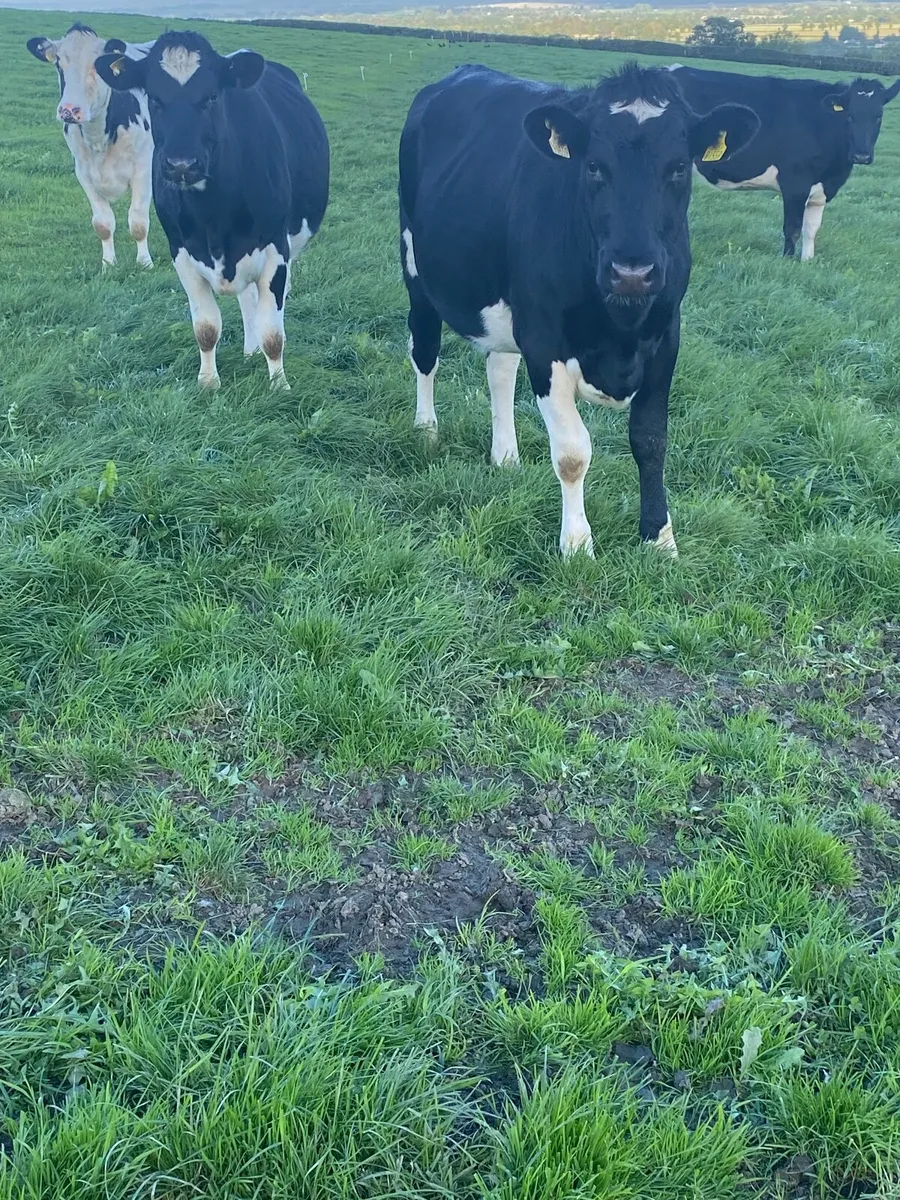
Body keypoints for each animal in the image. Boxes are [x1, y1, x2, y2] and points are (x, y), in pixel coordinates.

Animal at [27, 23, 154, 270]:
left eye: (97, 64)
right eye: (58, 62)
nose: (69, 110)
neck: (99, 139)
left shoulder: (144, 168)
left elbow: (138, 221)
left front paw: (145, 263)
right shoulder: (83, 172)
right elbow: (103, 224)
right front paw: (108, 264)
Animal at [95, 32, 329, 391]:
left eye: (212, 96)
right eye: (154, 98)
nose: (181, 165)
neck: (213, 217)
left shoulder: (276, 250)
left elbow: (273, 332)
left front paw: (279, 385)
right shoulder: (182, 252)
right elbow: (206, 328)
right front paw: (208, 382)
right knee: (247, 300)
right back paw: (249, 351)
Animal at [399, 63, 758, 558]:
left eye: (679, 167)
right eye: (593, 167)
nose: (632, 272)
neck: (620, 330)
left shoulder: (667, 335)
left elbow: (651, 440)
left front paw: (660, 538)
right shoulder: (543, 339)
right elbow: (572, 452)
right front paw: (576, 546)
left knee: (500, 370)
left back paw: (505, 456)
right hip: (415, 267)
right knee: (425, 350)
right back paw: (426, 431)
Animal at [669, 64, 900, 260]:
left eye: (878, 117)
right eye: (849, 116)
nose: (862, 156)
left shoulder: (820, 191)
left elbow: (811, 229)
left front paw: (807, 261)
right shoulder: (795, 185)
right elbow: (792, 229)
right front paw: (788, 261)